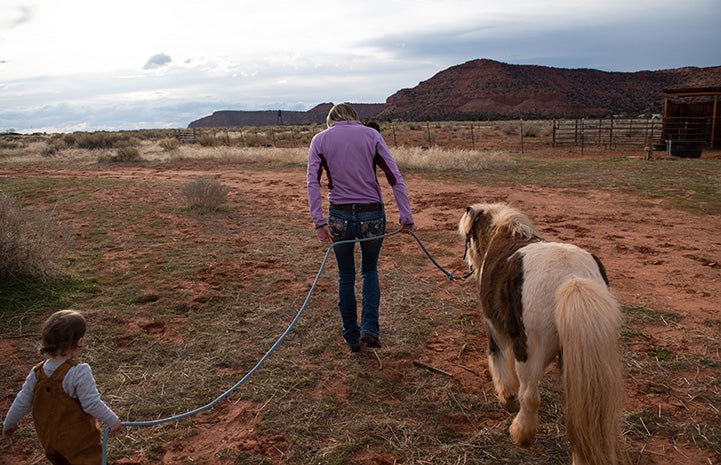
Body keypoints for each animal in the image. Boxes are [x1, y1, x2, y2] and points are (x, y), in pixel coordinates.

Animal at [462, 204, 624, 464]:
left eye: (468, 238)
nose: (469, 264)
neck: (503, 233)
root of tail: (571, 278)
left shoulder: (495, 328)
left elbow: (499, 362)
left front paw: (506, 395)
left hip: (531, 352)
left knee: (529, 396)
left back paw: (521, 433)